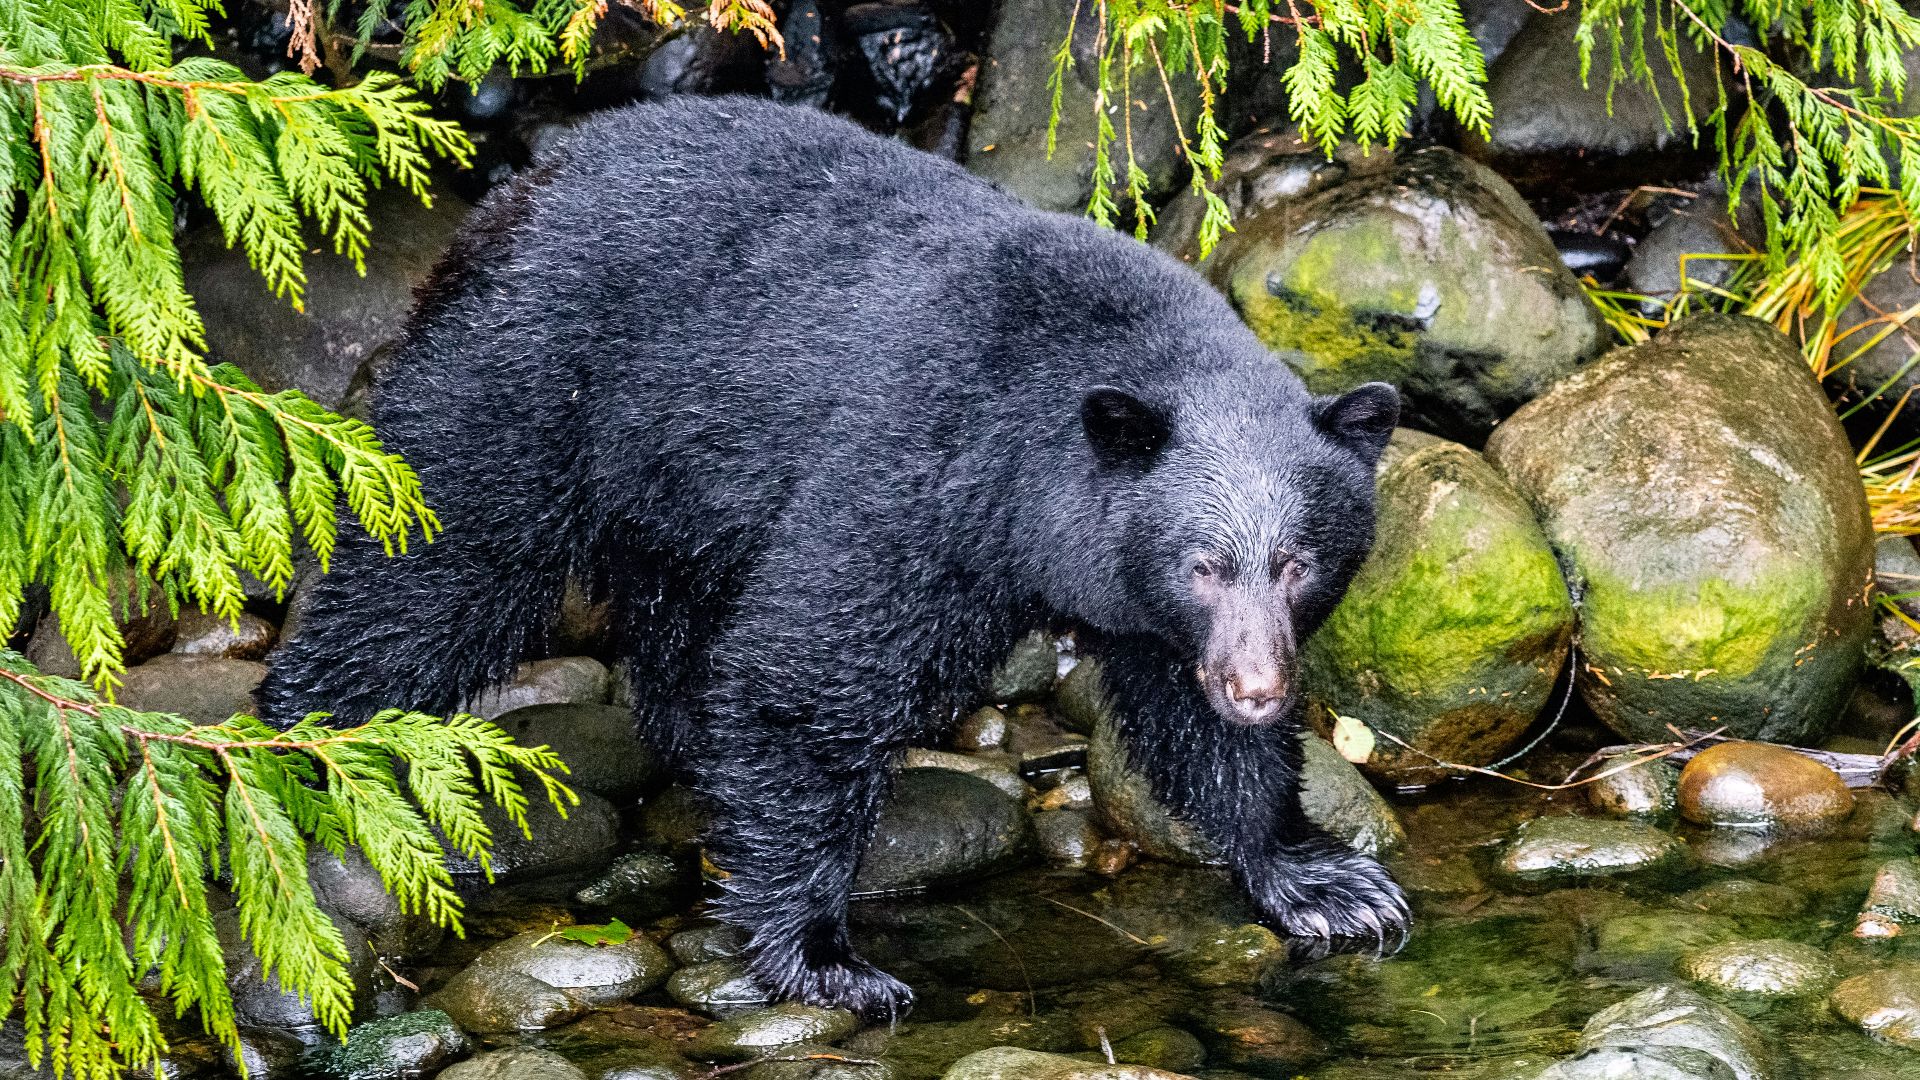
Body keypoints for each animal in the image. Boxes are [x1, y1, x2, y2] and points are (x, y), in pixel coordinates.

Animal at [258, 95, 1409, 1019]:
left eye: (1299, 562)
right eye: (1203, 562)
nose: (1260, 688)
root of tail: (517, 190)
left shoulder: (1148, 613)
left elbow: (1189, 722)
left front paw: (1322, 880)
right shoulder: (918, 477)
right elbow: (809, 676)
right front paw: (824, 955)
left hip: (679, 479)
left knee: (675, 615)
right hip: (527, 384)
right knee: (438, 574)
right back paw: (307, 743)